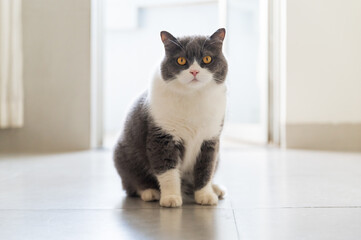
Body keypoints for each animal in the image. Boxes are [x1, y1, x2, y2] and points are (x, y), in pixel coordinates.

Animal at [114, 28, 226, 208]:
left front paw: (205, 195)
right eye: (181, 60)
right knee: (131, 183)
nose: (194, 71)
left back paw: (215, 188)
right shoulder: (162, 136)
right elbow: (167, 170)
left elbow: (206, 168)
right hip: (122, 154)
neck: (193, 96)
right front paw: (171, 198)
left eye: (207, 59)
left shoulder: (210, 139)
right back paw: (149, 192)